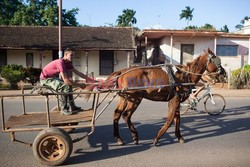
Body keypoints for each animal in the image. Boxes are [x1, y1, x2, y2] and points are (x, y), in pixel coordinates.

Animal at [87, 47, 225, 145]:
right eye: (218, 60)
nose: (223, 73)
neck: (185, 75)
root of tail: (123, 71)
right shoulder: (175, 100)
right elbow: (170, 120)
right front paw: (157, 138)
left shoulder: (175, 101)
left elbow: (177, 119)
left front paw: (179, 136)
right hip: (135, 98)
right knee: (126, 115)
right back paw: (134, 135)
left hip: (125, 98)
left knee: (117, 114)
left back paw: (119, 138)